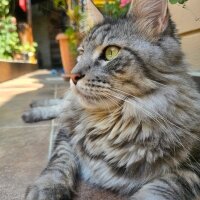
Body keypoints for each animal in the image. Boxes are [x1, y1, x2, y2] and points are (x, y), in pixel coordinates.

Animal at [25, 0, 200, 200]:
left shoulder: (191, 168)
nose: (73, 75)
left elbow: (162, 187)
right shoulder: (65, 135)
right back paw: (33, 110)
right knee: (61, 104)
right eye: (81, 53)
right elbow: (58, 161)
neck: (110, 122)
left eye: (111, 53)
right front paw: (47, 188)